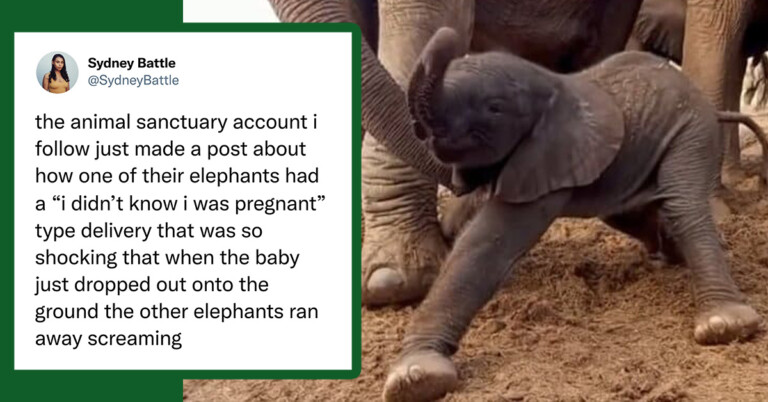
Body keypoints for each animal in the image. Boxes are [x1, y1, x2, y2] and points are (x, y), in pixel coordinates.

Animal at [382, 27, 763, 402]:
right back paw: (674, 258)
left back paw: (724, 324)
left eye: (494, 108)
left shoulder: (548, 157)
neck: (549, 83)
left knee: (682, 202)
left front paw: (419, 378)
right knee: (631, 213)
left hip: (691, 129)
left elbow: (488, 244)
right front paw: (411, 381)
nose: (450, 33)